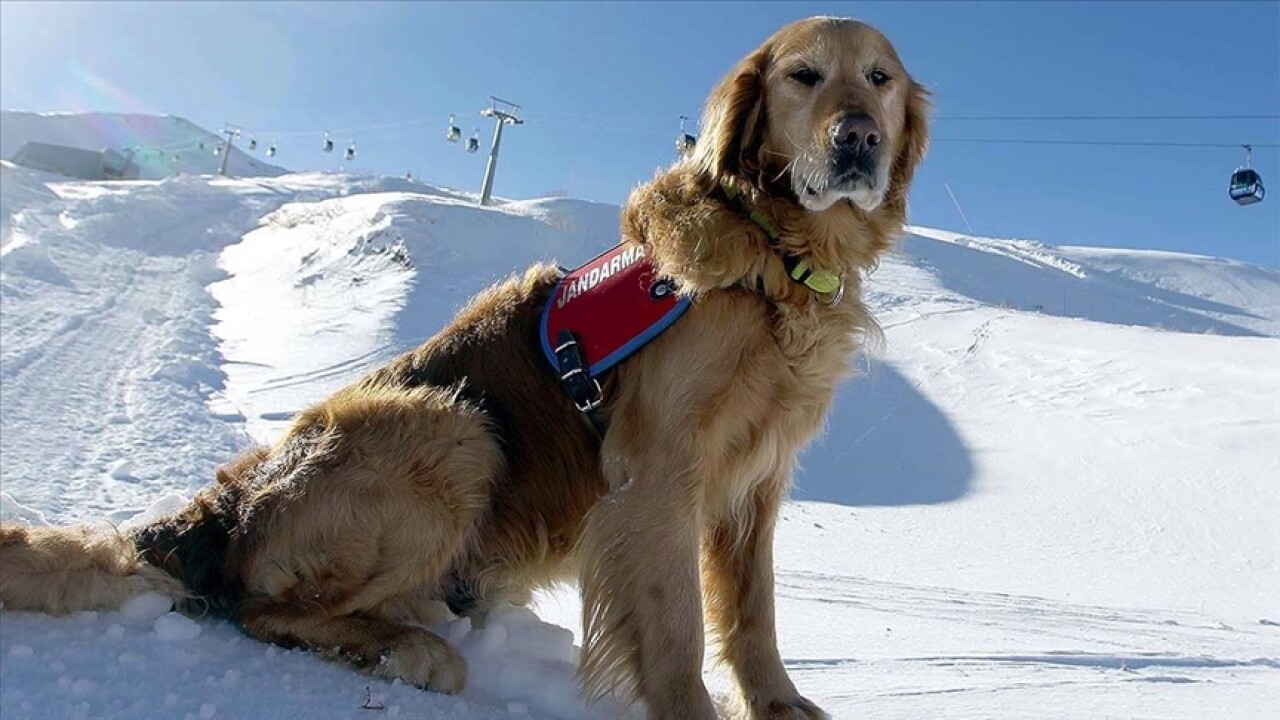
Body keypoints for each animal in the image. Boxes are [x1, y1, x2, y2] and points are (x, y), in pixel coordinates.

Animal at [0, 16, 926, 717]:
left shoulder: (757, 483)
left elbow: (753, 612)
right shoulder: (659, 472)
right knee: (260, 608)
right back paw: (411, 652)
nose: (858, 139)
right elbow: (676, 628)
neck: (778, 259)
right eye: (804, 76)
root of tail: (222, 508)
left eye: (879, 78)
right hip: (455, 429)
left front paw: (779, 705)